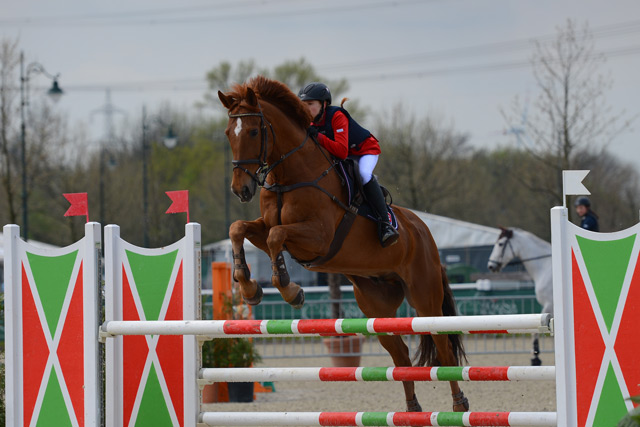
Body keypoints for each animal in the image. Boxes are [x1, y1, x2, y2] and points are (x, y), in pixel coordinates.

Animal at [218, 75, 468, 412]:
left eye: (255, 131)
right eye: (229, 133)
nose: (240, 190)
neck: (290, 175)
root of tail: (425, 233)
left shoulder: (318, 237)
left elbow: (275, 237)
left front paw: (291, 290)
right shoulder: (268, 227)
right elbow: (238, 229)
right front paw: (248, 287)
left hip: (424, 296)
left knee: (443, 347)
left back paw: (459, 404)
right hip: (376, 305)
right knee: (400, 353)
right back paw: (412, 408)